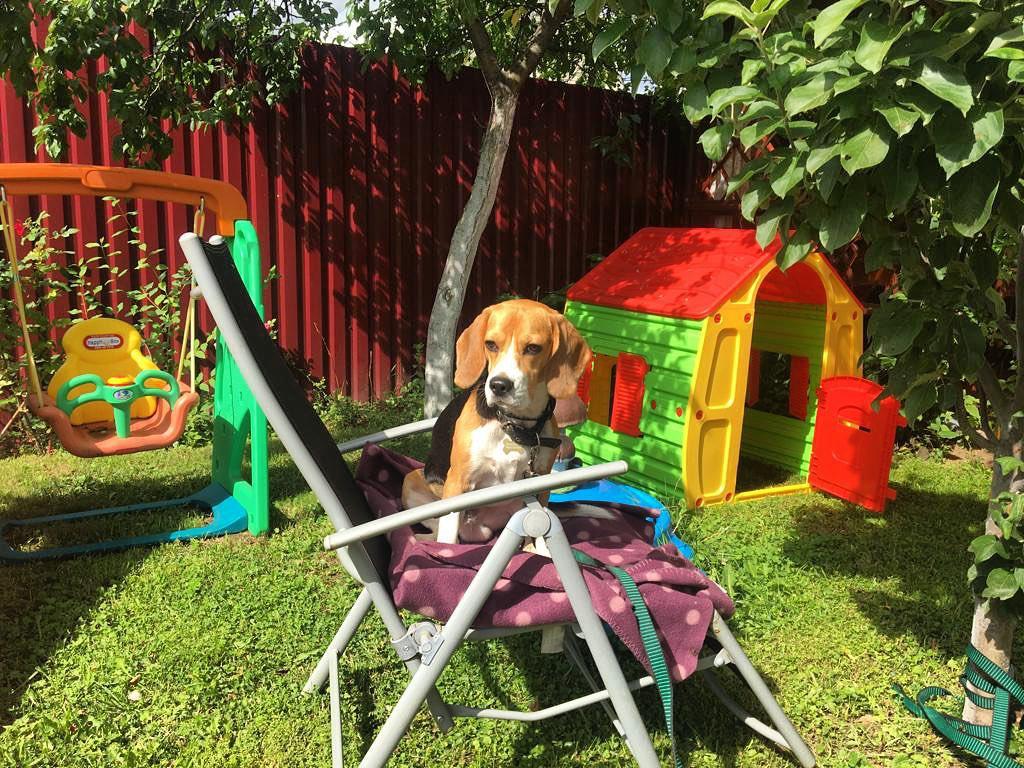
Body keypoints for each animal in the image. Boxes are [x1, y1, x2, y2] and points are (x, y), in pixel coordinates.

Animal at [399, 296, 593, 544]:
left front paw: (536, 549)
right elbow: (448, 540)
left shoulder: (541, 483)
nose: (499, 385)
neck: (514, 424)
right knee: (441, 531)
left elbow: (537, 537)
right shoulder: (457, 481)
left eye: (533, 348)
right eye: (490, 344)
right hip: (411, 480)